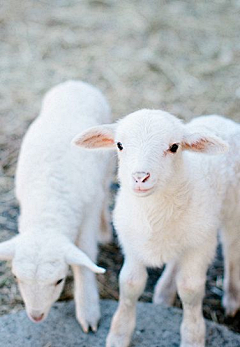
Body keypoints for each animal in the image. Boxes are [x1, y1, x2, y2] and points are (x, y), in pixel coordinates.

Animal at [0, 80, 113, 334]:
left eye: (59, 281)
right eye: (16, 277)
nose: (36, 316)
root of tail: (76, 83)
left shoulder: (88, 212)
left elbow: (86, 255)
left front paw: (88, 310)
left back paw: (105, 231)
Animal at [72, 111, 240, 347]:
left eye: (175, 147)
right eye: (120, 145)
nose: (140, 177)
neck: (153, 212)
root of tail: (218, 118)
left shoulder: (201, 244)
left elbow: (190, 290)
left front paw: (193, 337)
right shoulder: (132, 245)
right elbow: (130, 284)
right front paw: (119, 335)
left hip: (232, 209)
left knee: (232, 249)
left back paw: (232, 298)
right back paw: (164, 292)